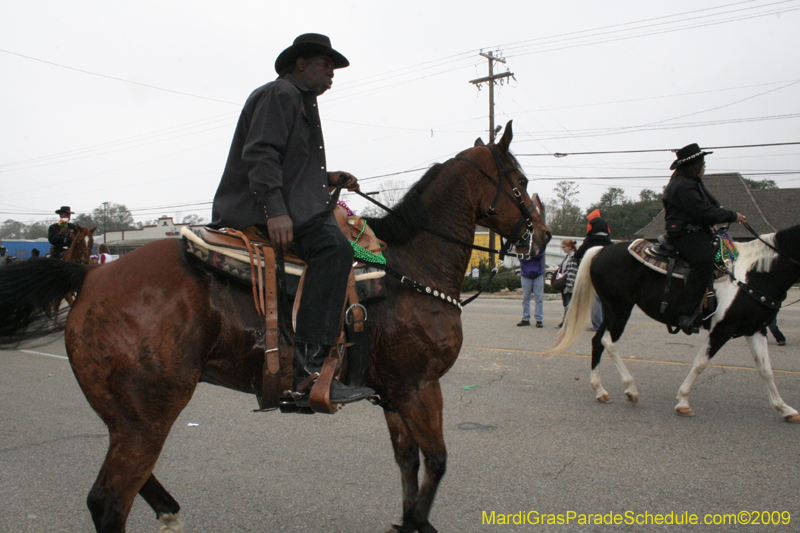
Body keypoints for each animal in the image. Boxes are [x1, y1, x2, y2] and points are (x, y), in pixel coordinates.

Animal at [0, 120, 552, 532]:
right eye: (521, 182)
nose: (544, 236)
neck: (409, 268)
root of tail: (91, 275)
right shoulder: (420, 386)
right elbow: (436, 460)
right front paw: (416, 523)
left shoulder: (393, 392)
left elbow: (408, 462)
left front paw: (409, 520)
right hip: (149, 413)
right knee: (109, 501)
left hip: (125, 415)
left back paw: (168, 508)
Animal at [552, 223, 800, 420]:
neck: (754, 273)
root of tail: (602, 249)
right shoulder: (722, 329)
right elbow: (701, 363)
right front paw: (683, 401)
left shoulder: (755, 329)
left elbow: (765, 369)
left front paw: (784, 408)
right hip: (620, 309)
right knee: (608, 342)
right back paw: (631, 389)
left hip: (612, 310)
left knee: (597, 341)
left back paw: (600, 390)